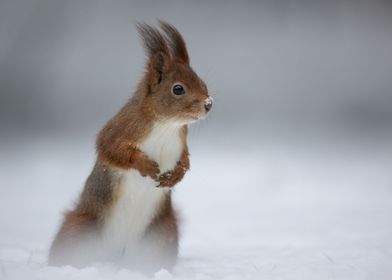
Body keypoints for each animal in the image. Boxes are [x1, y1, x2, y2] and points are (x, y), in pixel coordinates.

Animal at [47, 21, 213, 272]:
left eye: (202, 82)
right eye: (178, 89)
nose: (208, 103)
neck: (167, 125)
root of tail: (116, 255)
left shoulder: (182, 139)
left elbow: (185, 160)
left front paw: (175, 176)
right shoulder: (120, 128)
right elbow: (111, 149)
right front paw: (146, 166)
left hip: (161, 237)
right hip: (78, 233)